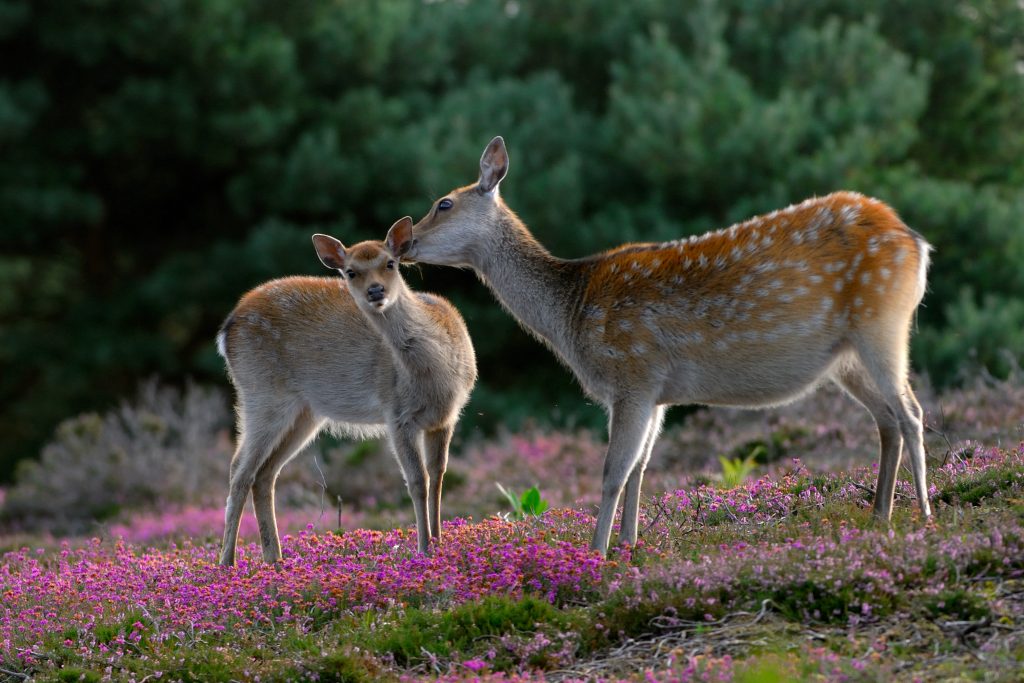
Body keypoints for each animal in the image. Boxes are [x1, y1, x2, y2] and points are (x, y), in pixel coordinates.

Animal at [218, 218, 477, 565]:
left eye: (390, 263)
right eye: (351, 271)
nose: (375, 290)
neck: (436, 373)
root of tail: (226, 330)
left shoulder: (446, 417)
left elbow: (438, 477)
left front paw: (438, 543)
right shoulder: (397, 415)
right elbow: (417, 481)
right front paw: (424, 549)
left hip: (305, 412)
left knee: (265, 474)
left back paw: (275, 560)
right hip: (261, 393)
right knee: (239, 470)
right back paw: (228, 563)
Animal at [409, 135, 937, 557]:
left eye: (443, 204)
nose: (403, 241)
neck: (571, 316)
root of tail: (917, 242)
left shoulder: (633, 372)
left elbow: (613, 470)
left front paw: (596, 553)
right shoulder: (657, 392)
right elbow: (641, 467)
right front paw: (629, 544)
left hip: (882, 323)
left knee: (911, 411)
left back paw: (924, 513)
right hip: (846, 357)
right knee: (887, 419)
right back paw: (880, 515)